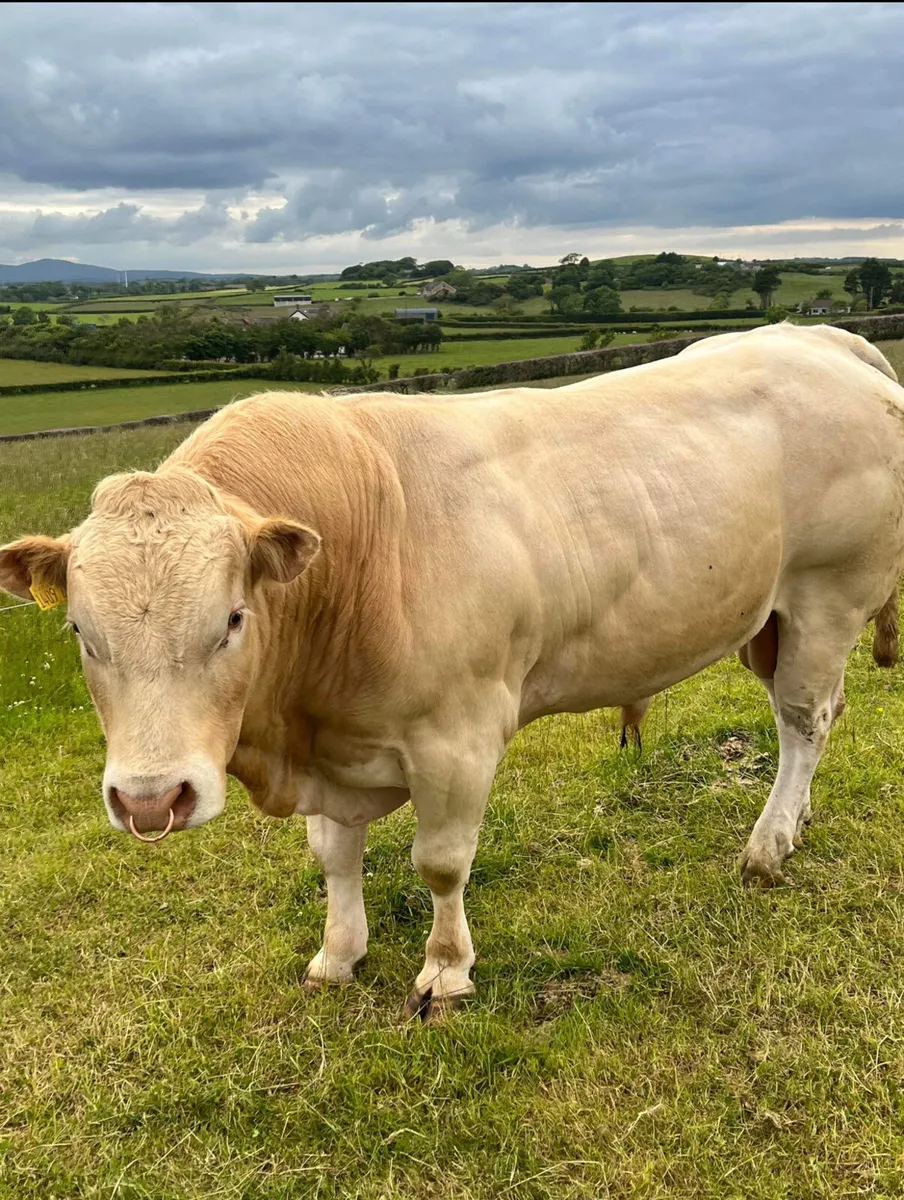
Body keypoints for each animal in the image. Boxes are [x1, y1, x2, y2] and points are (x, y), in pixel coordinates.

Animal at [2, 323, 903, 1021]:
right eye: (81, 631)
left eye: (231, 620)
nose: (150, 802)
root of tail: (824, 341)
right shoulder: (335, 746)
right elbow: (334, 857)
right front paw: (339, 953)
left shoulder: (457, 739)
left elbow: (439, 863)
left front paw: (445, 970)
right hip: (771, 621)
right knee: (820, 713)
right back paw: (797, 821)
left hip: (828, 596)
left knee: (804, 722)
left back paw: (769, 846)